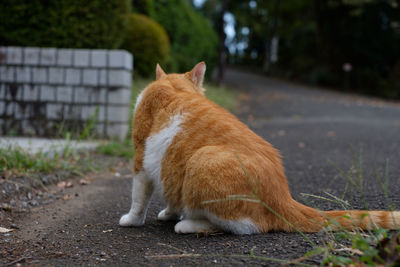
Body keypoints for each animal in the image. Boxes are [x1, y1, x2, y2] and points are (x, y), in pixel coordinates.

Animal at [119, 62, 400, 234]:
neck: (174, 87)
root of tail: (283, 197)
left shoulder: (141, 161)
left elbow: (139, 198)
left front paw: (132, 220)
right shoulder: (167, 168)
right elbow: (170, 195)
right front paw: (169, 212)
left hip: (202, 160)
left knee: (240, 226)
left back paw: (188, 224)